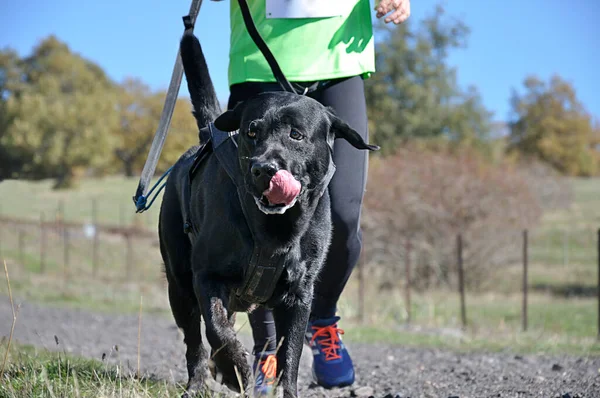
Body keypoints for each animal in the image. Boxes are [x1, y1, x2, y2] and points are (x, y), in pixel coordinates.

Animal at [157, 28, 378, 398]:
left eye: (296, 134)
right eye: (251, 131)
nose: (263, 169)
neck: (276, 228)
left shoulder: (300, 294)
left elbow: (291, 354)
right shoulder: (207, 275)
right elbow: (216, 330)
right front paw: (234, 369)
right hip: (180, 282)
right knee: (195, 341)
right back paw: (199, 381)